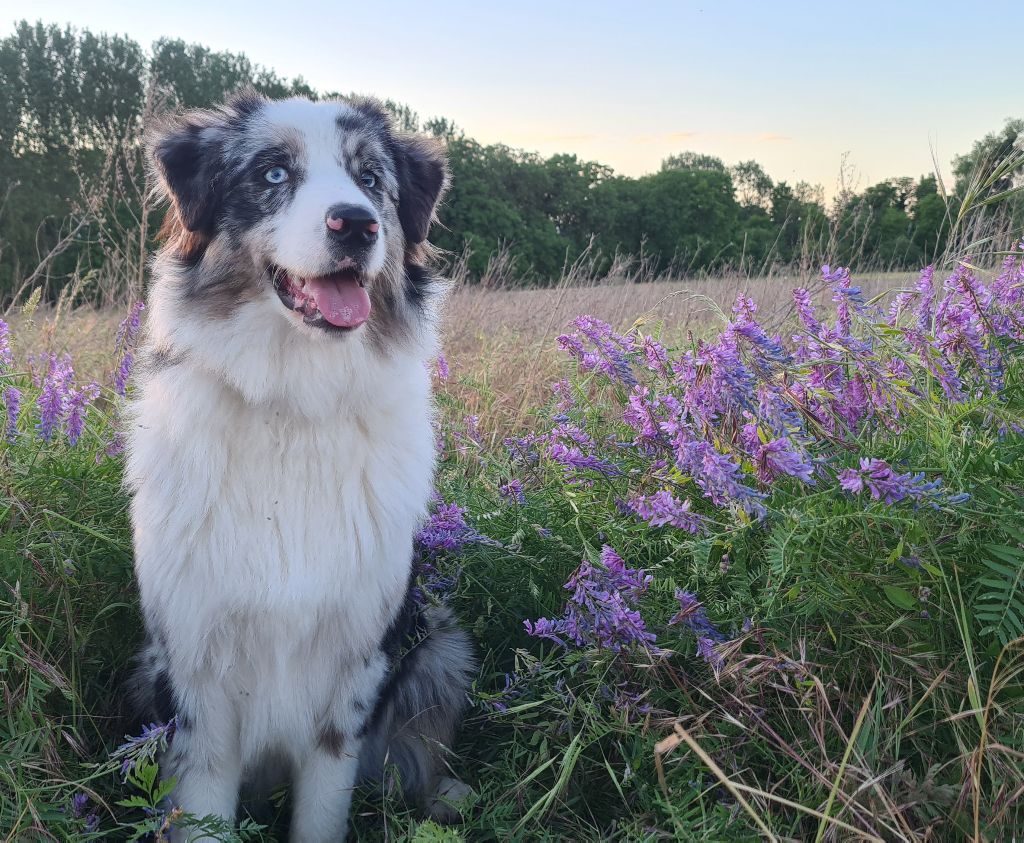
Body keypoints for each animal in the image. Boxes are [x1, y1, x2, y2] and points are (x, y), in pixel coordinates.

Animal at [123, 89, 471, 839]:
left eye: (371, 180)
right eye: (273, 174)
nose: (357, 224)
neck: (294, 403)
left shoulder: (354, 668)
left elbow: (323, 807)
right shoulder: (197, 677)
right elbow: (204, 808)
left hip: (439, 643)